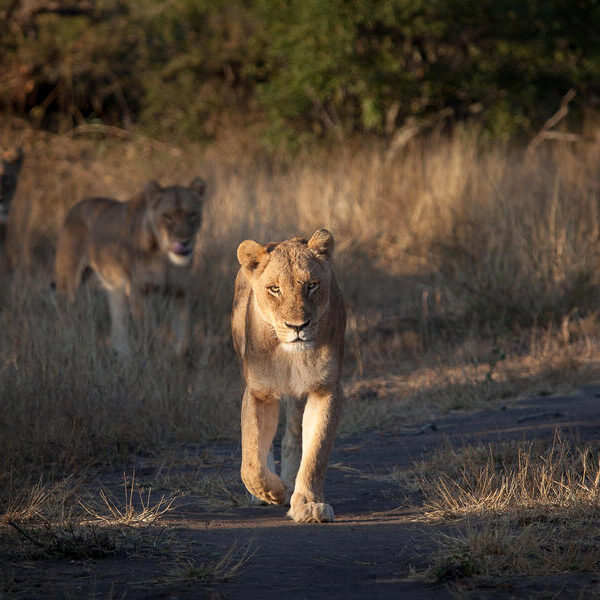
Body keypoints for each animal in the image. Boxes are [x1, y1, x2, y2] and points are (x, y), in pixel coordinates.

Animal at [54, 178, 209, 356]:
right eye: (167, 217)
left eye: (192, 215)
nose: (184, 242)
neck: (165, 259)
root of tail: (75, 207)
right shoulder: (139, 291)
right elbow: (147, 330)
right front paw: (150, 356)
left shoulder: (180, 291)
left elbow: (184, 332)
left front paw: (178, 356)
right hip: (68, 283)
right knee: (64, 313)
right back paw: (66, 344)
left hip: (115, 288)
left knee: (118, 319)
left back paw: (123, 354)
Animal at [234, 227, 346, 524]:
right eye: (274, 289)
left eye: (311, 286)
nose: (298, 326)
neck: (289, 354)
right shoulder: (258, 392)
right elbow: (251, 459)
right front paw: (272, 492)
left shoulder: (325, 388)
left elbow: (316, 452)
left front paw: (308, 504)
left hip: (299, 394)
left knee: (294, 435)